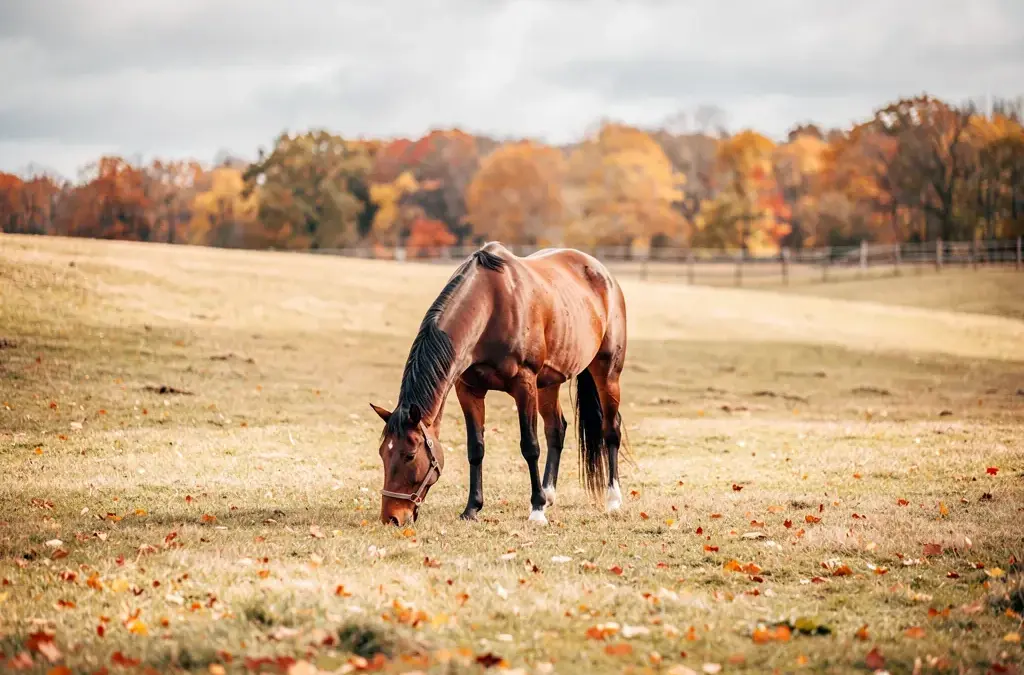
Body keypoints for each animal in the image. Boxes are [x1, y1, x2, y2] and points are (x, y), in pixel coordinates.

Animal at [369, 241, 629, 526]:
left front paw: (536, 510)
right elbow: (476, 448)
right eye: (383, 453)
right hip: (548, 383)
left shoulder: (524, 385)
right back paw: (549, 494)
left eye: (410, 455)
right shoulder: (468, 390)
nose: (392, 517)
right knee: (556, 429)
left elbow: (530, 446)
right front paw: (472, 508)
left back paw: (613, 500)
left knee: (610, 429)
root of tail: (604, 274)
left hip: (607, 372)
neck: (491, 306)